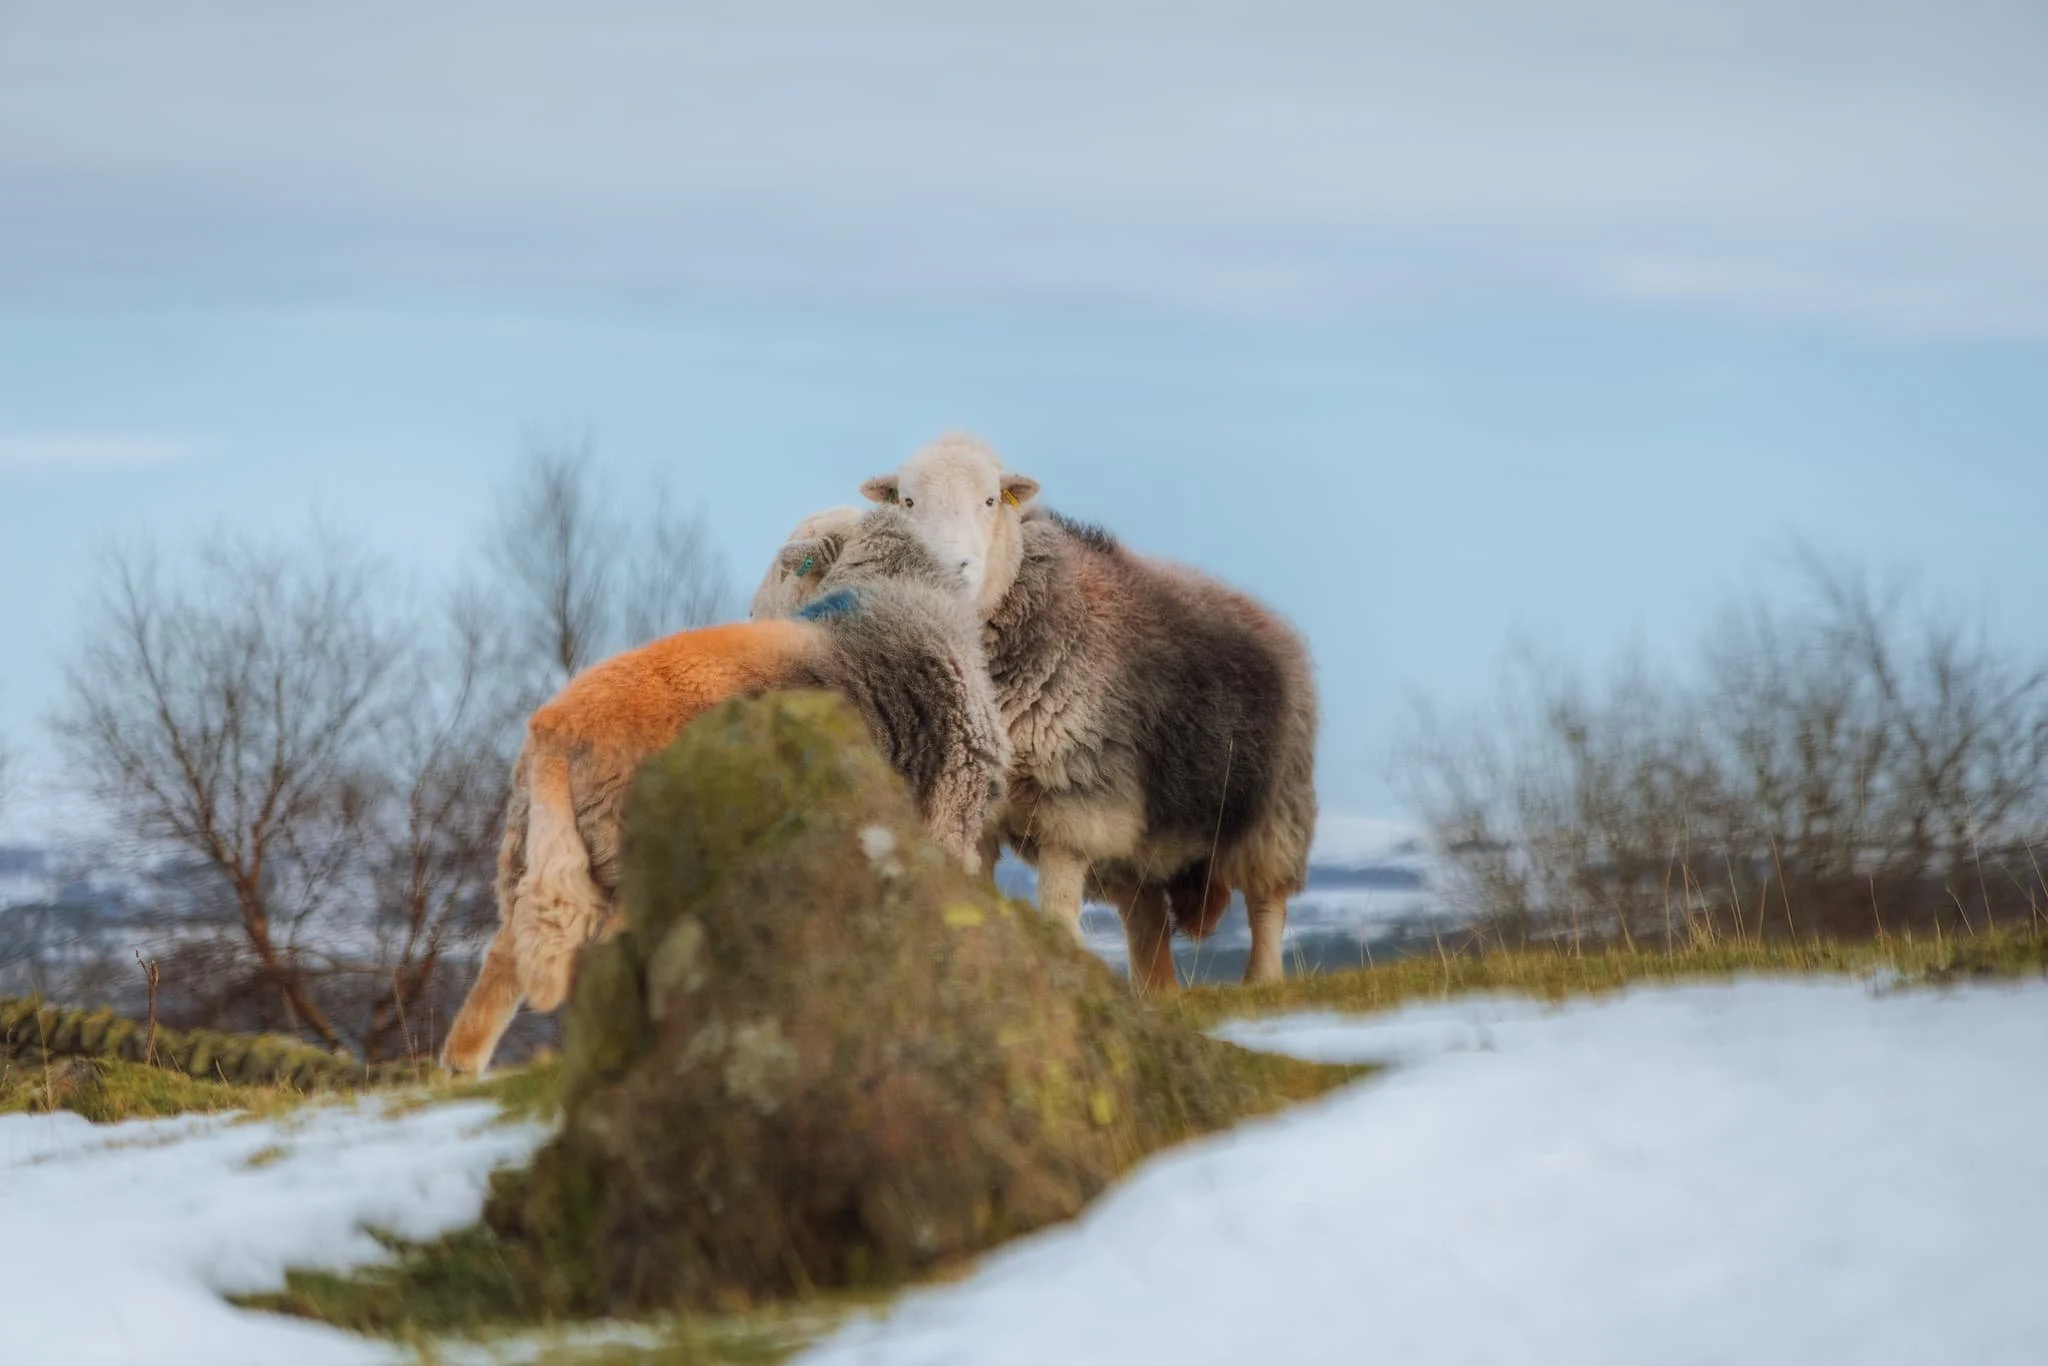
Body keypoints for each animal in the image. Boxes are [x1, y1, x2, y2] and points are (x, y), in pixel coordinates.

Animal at [439, 505, 1010, 1075]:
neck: (895, 586)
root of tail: (556, 730)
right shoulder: (948, 819)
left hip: (527, 850)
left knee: (503, 959)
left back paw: (461, 1069)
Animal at [857, 433, 1318, 993]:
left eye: (990, 500)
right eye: (906, 501)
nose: (952, 568)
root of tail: (1268, 616)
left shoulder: (1074, 795)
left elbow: (1057, 908)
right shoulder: (968, 796)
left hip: (1276, 809)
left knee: (1266, 902)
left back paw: (1262, 982)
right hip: (1141, 842)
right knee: (1146, 918)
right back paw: (1155, 994)